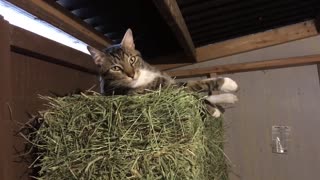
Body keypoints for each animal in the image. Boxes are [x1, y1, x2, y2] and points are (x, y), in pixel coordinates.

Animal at [87, 28, 238, 117]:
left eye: (132, 59)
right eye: (116, 68)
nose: (132, 75)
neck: (143, 77)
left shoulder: (169, 81)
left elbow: (197, 86)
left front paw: (228, 86)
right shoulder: (162, 90)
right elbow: (193, 93)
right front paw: (214, 109)